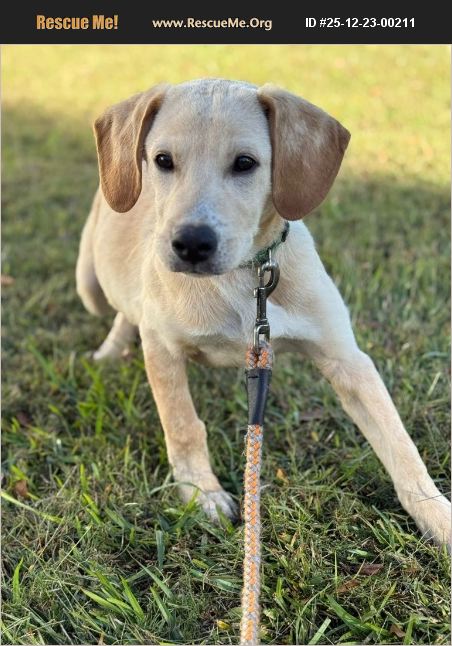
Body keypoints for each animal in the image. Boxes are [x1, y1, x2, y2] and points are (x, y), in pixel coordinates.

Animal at [76, 78, 451, 549]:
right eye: (162, 160)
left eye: (245, 163)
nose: (191, 244)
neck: (243, 276)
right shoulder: (162, 350)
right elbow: (183, 425)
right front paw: (201, 494)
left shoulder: (347, 360)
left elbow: (400, 444)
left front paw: (437, 515)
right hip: (89, 282)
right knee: (122, 311)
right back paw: (109, 353)